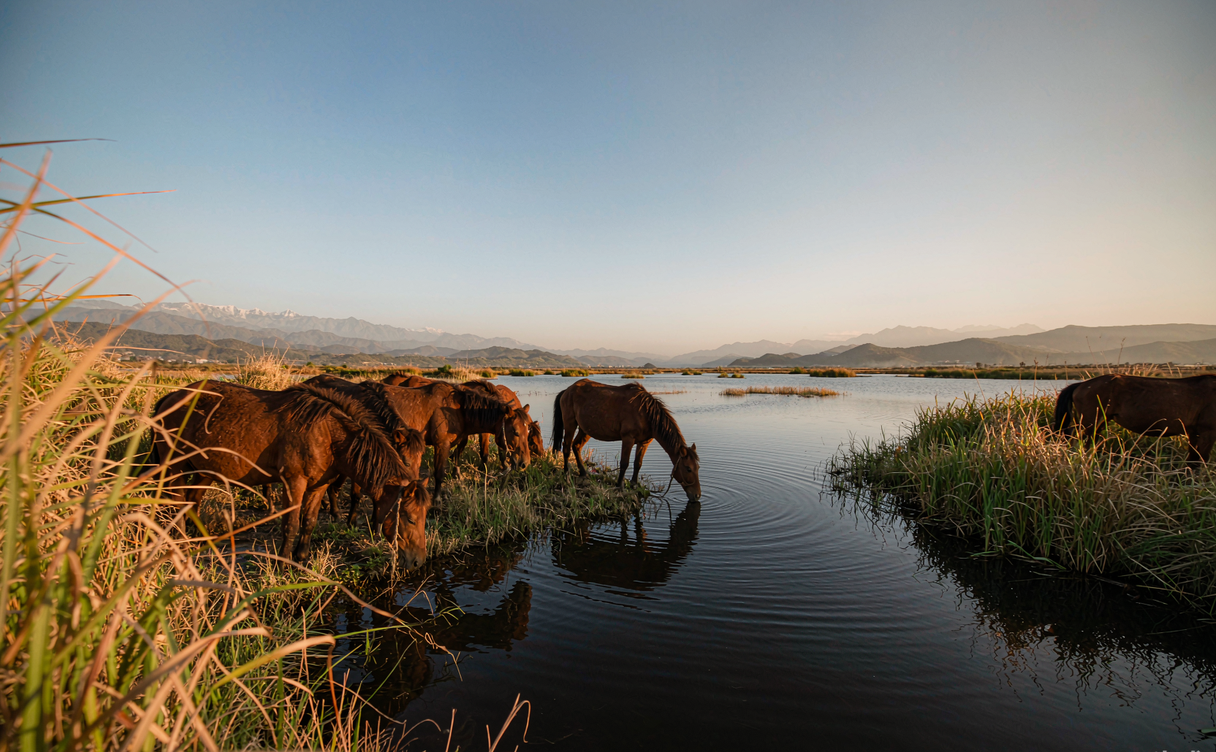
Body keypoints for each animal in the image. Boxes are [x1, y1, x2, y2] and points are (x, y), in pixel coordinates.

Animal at [151, 380, 431, 566]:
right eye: (409, 518)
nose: (419, 561)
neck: (328, 434)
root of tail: (170, 396)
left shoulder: (318, 486)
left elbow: (309, 522)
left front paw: (302, 558)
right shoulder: (293, 483)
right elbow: (291, 523)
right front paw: (284, 561)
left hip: (204, 469)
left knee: (192, 501)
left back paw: (200, 539)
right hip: (173, 467)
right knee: (176, 502)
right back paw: (181, 541)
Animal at [551, 379, 701, 501]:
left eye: (698, 467)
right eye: (688, 468)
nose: (697, 495)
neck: (646, 414)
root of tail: (567, 391)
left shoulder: (644, 442)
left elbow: (637, 463)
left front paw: (634, 484)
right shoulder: (628, 439)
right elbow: (624, 463)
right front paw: (619, 486)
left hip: (585, 430)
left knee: (576, 446)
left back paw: (583, 473)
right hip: (570, 424)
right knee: (566, 447)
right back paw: (566, 474)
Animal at [1052, 374, 1216, 464]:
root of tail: (1082, 384)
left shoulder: (1194, 432)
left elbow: (1192, 459)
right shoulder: (1207, 433)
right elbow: (1199, 460)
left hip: (1098, 424)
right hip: (1089, 423)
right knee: (1075, 443)